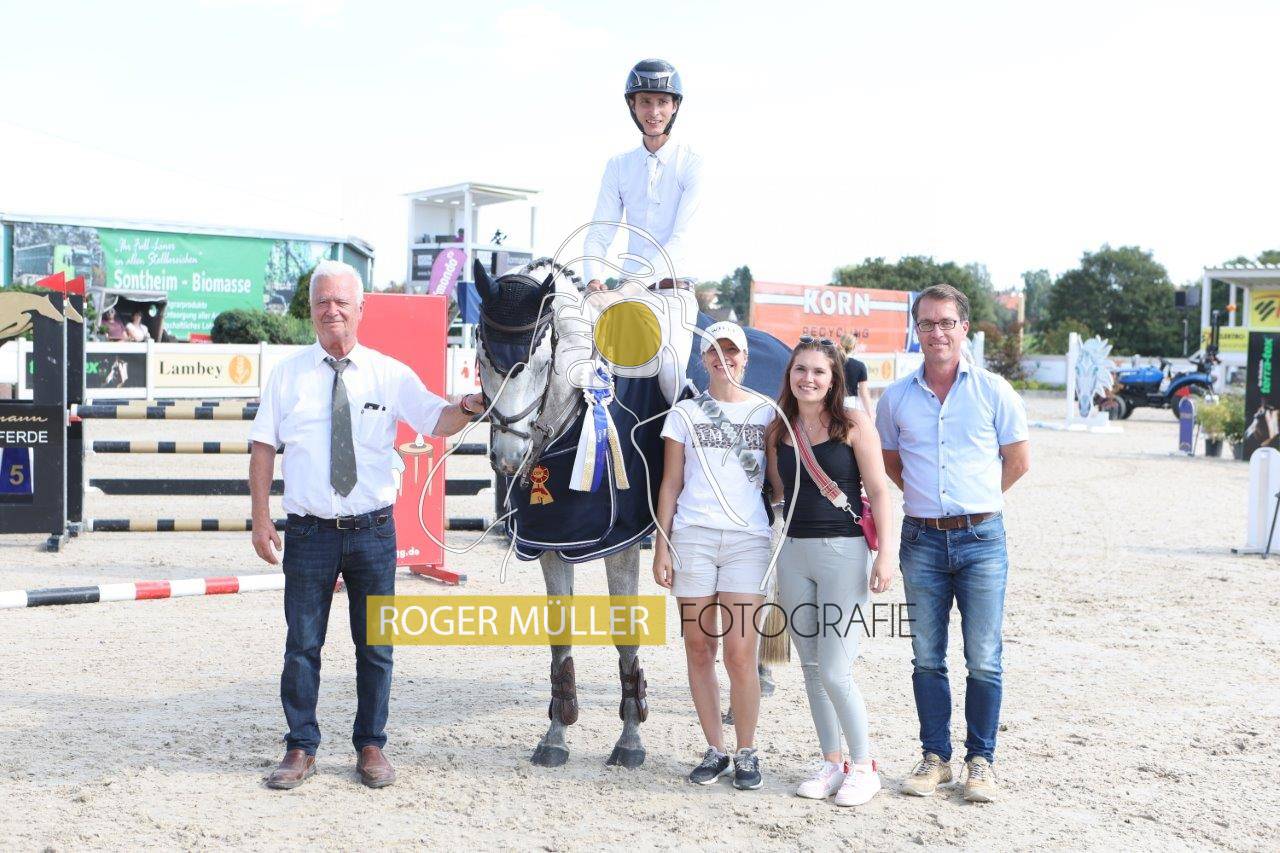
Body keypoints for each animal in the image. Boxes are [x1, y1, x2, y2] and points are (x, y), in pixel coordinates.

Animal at [472, 257, 791, 769]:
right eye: (483, 356)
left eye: (539, 362)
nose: (507, 456)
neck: (577, 413)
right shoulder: (553, 541)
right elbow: (560, 636)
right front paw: (556, 734)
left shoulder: (619, 540)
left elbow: (625, 635)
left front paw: (630, 738)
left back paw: (753, 680)